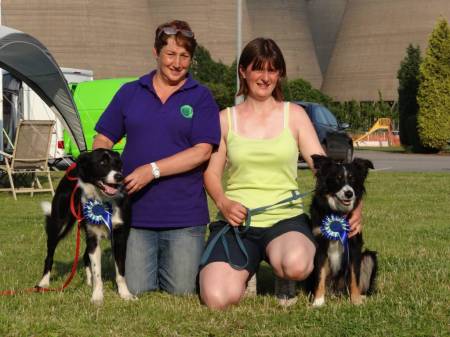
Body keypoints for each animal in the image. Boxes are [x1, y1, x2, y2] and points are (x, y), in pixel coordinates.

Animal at [38, 148, 135, 304]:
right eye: (102, 162)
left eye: (119, 164)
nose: (119, 176)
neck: (104, 201)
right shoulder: (93, 236)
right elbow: (97, 272)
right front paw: (97, 296)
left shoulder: (119, 236)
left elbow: (120, 270)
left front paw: (125, 294)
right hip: (58, 225)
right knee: (49, 256)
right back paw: (43, 282)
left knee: (84, 256)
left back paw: (88, 281)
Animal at [308, 154, 378, 306]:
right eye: (337, 178)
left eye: (353, 179)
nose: (349, 193)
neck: (337, 213)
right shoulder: (320, 245)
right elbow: (320, 275)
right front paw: (318, 302)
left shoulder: (354, 245)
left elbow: (354, 276)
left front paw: (356, 301)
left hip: (368, 257)